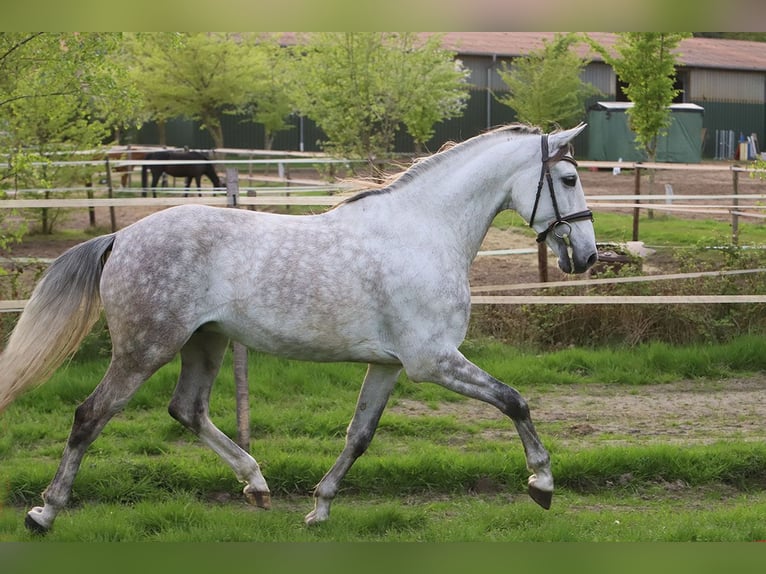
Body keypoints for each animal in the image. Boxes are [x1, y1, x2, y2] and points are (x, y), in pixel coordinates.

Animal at [0, 123, 598, 534]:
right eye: (568, 178)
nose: (588, 257)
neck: (424, 233)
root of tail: (122, 238)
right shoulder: (433, 361)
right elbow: (515, 400)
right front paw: (542, 484)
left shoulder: (388, 365)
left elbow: (359, 436)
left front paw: (319, 508)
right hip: (145, 349)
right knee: (90, 416)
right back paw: (44, 513)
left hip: (206, 341)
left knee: (187, 410)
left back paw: (257, 486)